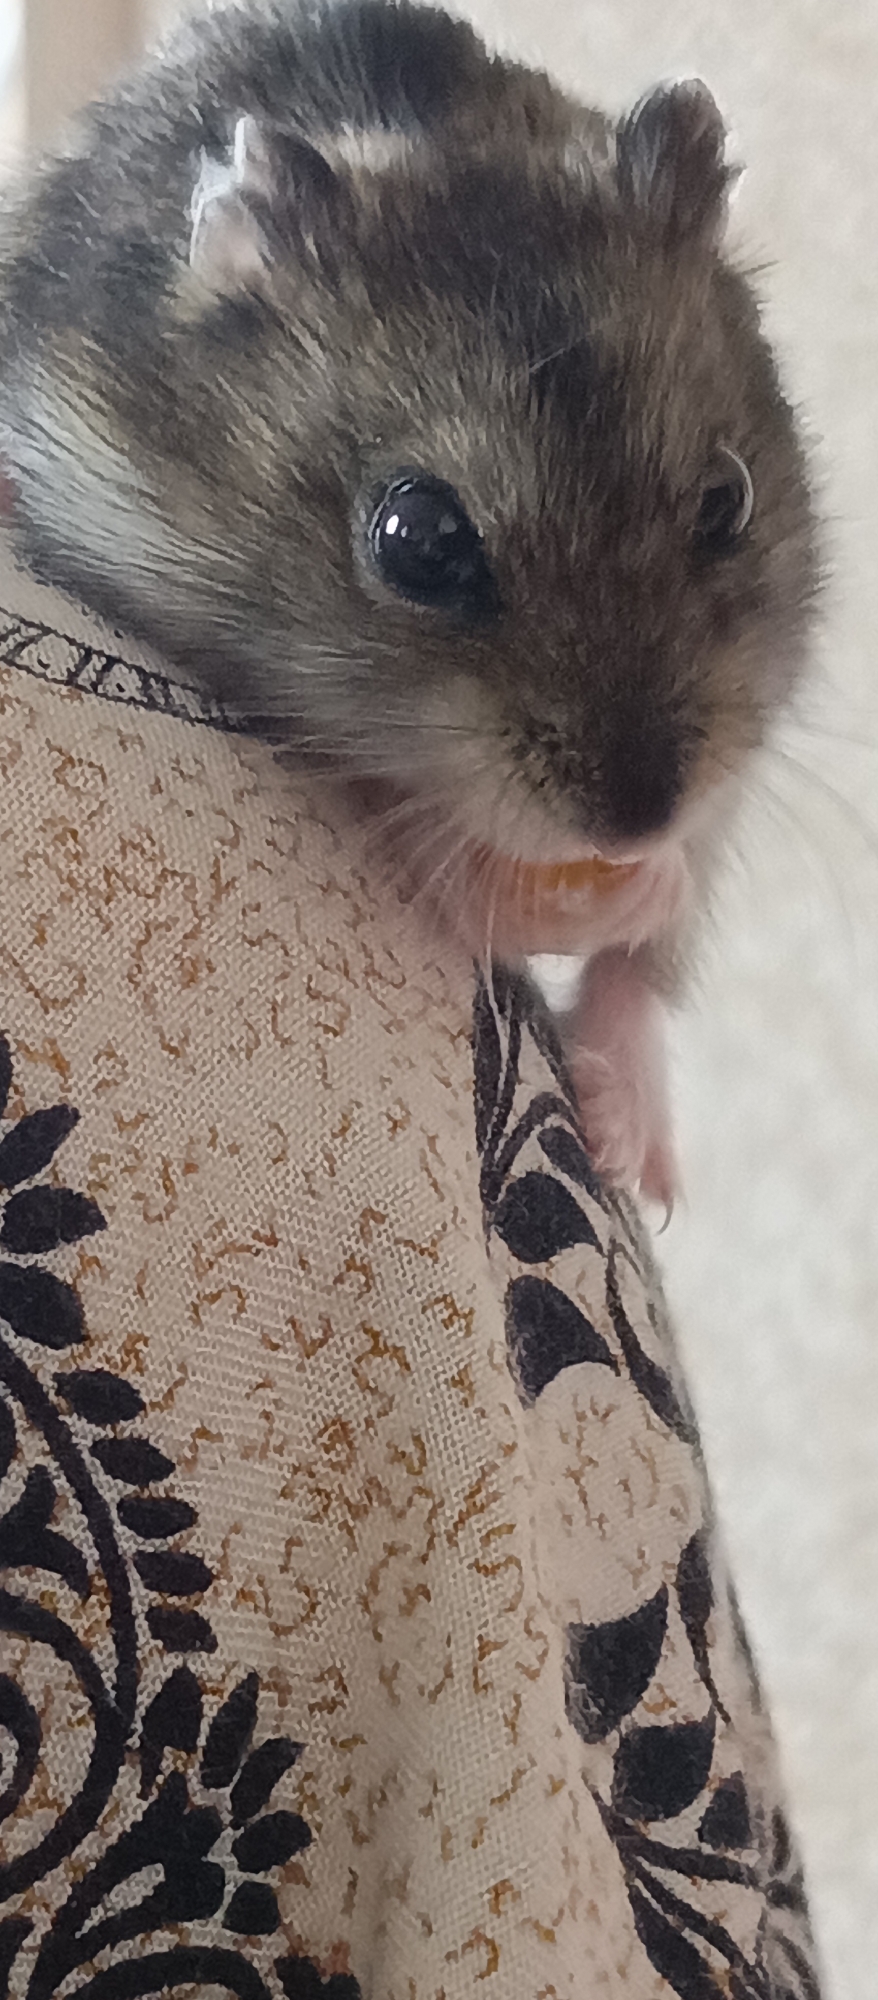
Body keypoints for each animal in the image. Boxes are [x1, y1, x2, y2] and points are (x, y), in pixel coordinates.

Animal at [0, 0, 818, 1203]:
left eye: (730, 500)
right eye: (419, 539)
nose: (634, 829)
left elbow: (651, 943)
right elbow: (439, 856)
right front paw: (609, 890)